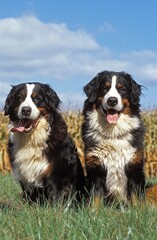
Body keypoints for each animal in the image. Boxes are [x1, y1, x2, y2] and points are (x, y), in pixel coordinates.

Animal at [81, 70, 145, 203]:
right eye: (105, 88)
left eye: (122, 89)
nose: (112, 100)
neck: (113, 133)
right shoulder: (95, 170)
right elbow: (94, 200)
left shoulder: (135, 169)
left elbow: (137, 199)